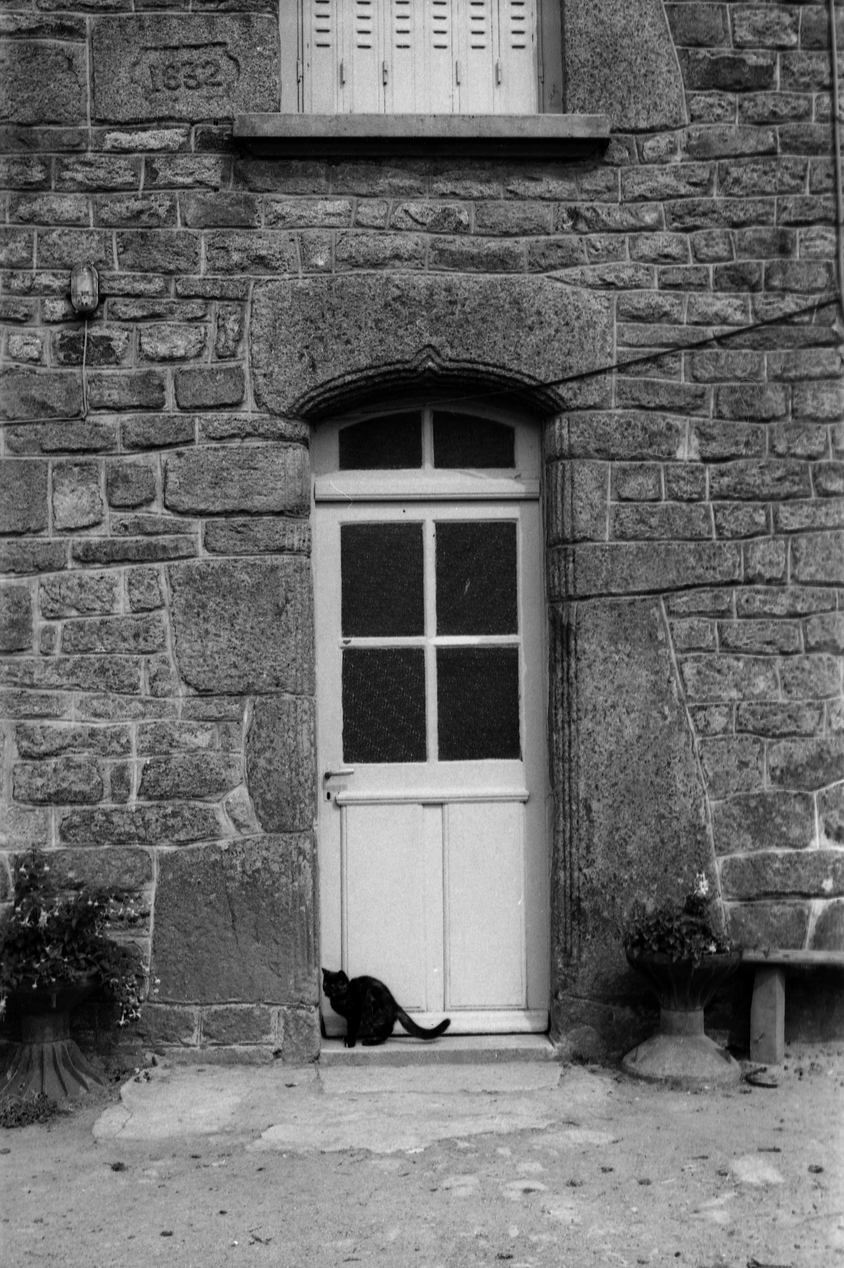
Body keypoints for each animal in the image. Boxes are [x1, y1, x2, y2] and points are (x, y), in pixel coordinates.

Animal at [322, 968, 451, 1048]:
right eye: (325, 984)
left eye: (332, 985)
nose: (326, 991)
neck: (343, 996)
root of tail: (394, 1004)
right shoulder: (350, 1018)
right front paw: (346, 1038)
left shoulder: (355, 1016)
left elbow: (352, 1029)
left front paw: (350, 1042)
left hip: (370, 1015)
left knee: (388, 1029)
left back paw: (370, 1041)